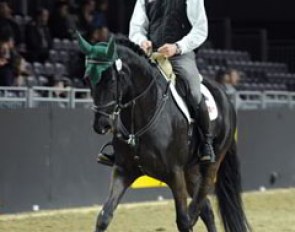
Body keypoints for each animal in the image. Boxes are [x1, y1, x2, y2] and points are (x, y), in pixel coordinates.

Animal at [77, 34, 251, 232]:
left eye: (112, 80)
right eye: (87, 79)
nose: (101, 125)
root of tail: (226, 98)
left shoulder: (174, 174)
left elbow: (183, 221)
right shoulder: (123, 171)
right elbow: (104, 217)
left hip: (211, 164)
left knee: (199, 203)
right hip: (190, 168)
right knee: (206, 209)